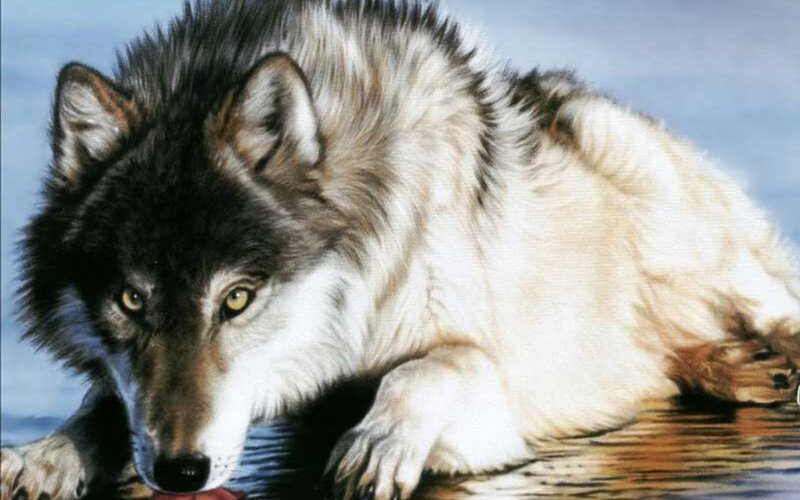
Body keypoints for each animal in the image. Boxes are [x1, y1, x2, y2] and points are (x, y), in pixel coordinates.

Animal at [1, 1, 798, 499]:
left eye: (237, 298)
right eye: (131, 299)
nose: (182, 473)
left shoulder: (483, 386)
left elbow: (427, 368)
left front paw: (378, 443)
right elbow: (107, 405)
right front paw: (47, 456)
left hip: (664, 204)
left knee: (769, 305)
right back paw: (727, 366)